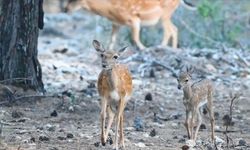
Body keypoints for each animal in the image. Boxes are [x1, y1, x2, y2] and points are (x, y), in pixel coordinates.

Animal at [64, 0, 195, 49]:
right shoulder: (116, 24)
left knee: (169, 30)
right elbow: (111, 40)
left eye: (74, 0)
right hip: (166, 16)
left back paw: (160, 47)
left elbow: (135, 38)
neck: (111, 11)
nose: (66, 9)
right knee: (174, 29)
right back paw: (173, 49)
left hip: (165, 14)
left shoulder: (133, 19)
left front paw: (144, 49)